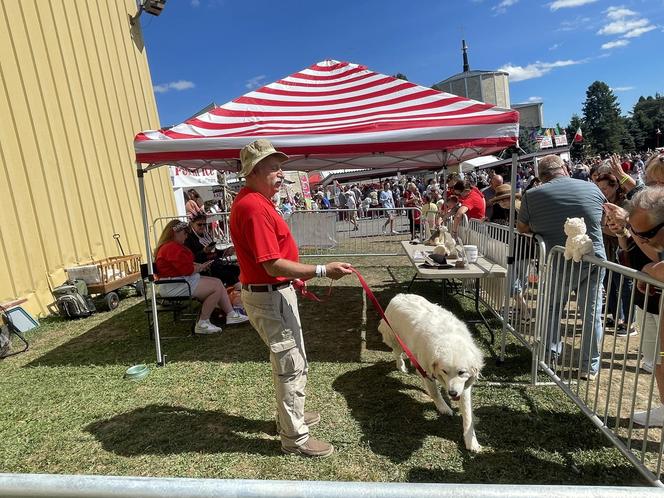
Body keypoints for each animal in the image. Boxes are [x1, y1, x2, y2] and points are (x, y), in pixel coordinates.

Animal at [378, 292, 482, 452]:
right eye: (445, 371)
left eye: (461, 372)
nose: (452, 393)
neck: (449, 338)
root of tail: (399, 295)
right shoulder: (427, 369)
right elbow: (435, 392)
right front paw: (443, 408)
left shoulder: (463, 387)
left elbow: (467, 415)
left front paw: (471, 442)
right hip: (395, 338)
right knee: (397, 352)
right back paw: (401, 366)